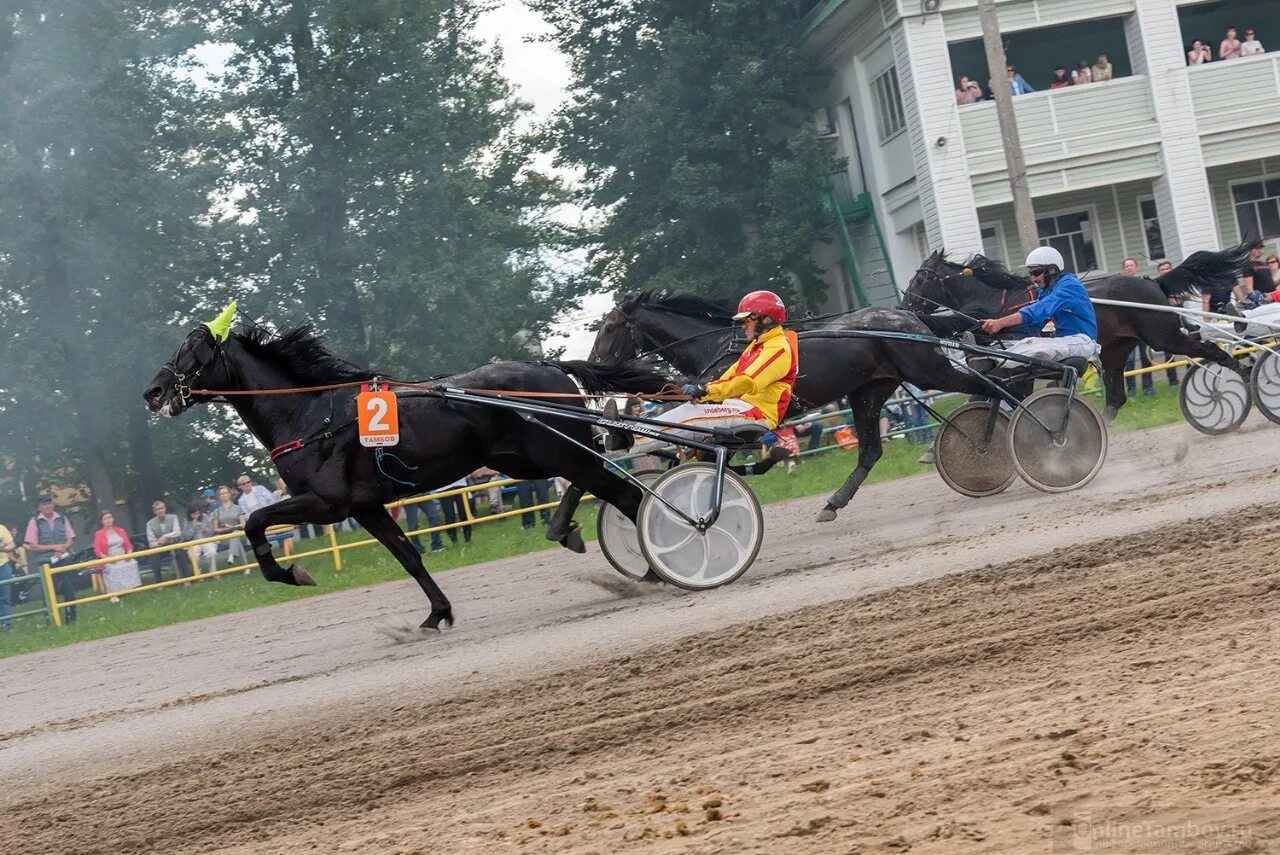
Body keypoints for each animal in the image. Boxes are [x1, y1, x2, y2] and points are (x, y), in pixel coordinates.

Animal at [142, 308, 670, 627]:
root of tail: (549, 367)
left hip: (557, 452)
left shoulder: (326, 504)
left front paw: (291, 573)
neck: (310, 414)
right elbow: (408, 557)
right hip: (527, 460)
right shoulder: (366, 507)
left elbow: (253, 521)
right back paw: (573, 532)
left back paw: (652, 560)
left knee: (623, 493)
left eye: (191, 352)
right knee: (601, 483)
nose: (153, 391)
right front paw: (437, 613)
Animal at [588, 291, 998, 522]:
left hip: (927, 371)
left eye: (608, 328)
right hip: (869, 391)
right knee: (870, 452)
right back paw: (833, 503)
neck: (722, 347)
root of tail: (907, 315)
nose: (593, 367)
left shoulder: (737, 420)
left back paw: (990, 434)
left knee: (991, 384)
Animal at [906, 243, 1254, 419]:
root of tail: (1152, 281)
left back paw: (1245, 376)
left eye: (921, 278)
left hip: (1161, 334)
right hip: (1118, 347)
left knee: (1208, 347)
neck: (996, 303)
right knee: (1116, 396)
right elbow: (989, 389)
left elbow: (997, 392)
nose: (906, 302)